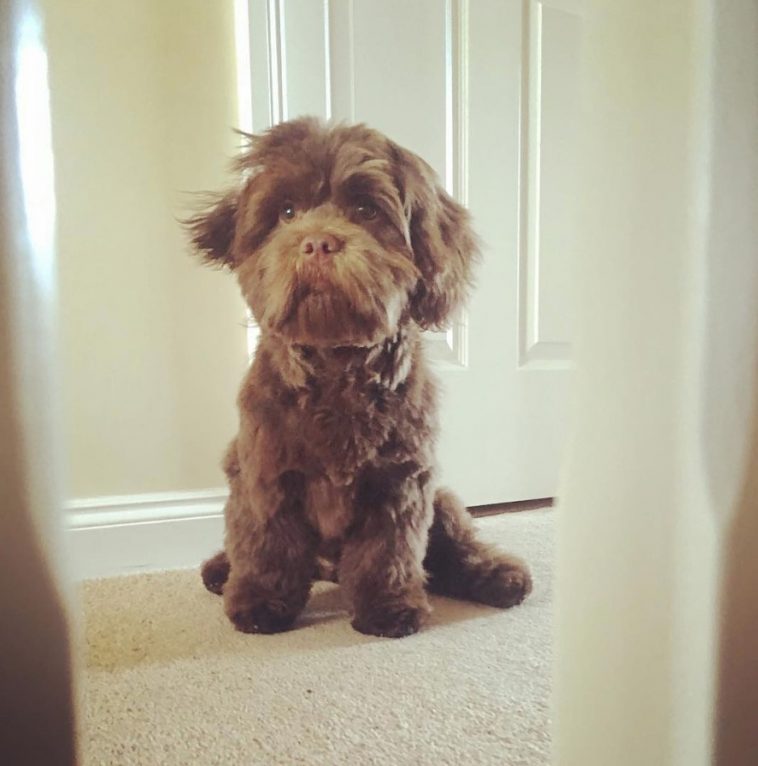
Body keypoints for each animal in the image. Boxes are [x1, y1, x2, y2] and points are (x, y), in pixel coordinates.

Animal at [189, 118, 536, 636]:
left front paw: (388, 608)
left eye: (366, 209)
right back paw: (221, 569)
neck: (336, 368)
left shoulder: (400, 480)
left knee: (455, 546)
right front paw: (261, 603)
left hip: (441, 497)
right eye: (286, 211)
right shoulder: (267, 473)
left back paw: (497, 575)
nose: (318, 242)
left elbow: (387, 552)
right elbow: (268, 544)